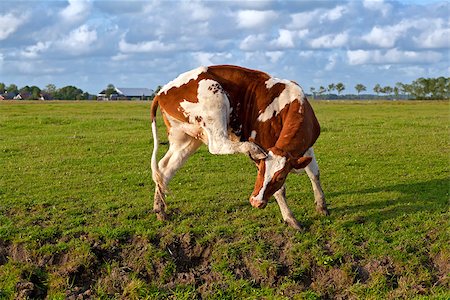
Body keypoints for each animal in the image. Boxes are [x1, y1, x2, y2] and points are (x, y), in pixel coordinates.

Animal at [151, 65, 326, 230]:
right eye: (260, 170)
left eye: (281, 176)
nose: (255, 201)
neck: (290, 102)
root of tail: (162, 92)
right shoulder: (263, 149)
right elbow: (280, 190)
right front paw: (290, 218)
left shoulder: (306, 148)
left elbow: (314, 174)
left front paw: (322, 206)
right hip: (215, 100)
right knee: (217, 145)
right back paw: (250, 147)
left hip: (185, 139)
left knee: (163, 169)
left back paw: (160, 210)